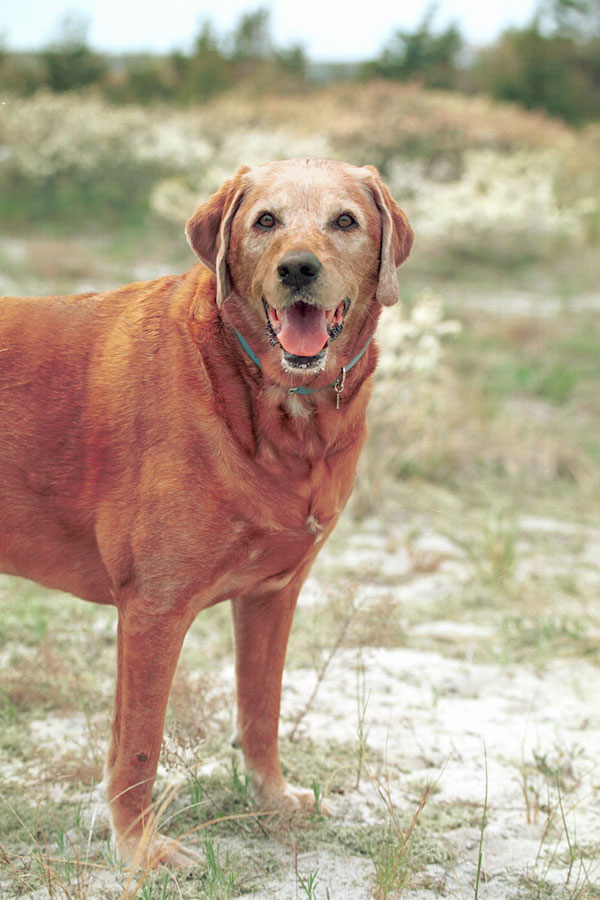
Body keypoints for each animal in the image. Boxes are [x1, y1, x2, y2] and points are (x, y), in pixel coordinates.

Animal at [0, 158, 412, 868]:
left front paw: (271, 799)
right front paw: (140, 848)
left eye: (345, 221)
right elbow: (140, 746)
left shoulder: (273, 594)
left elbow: (261, 712)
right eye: (265, 221)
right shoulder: (154, 610)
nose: (298, 268)